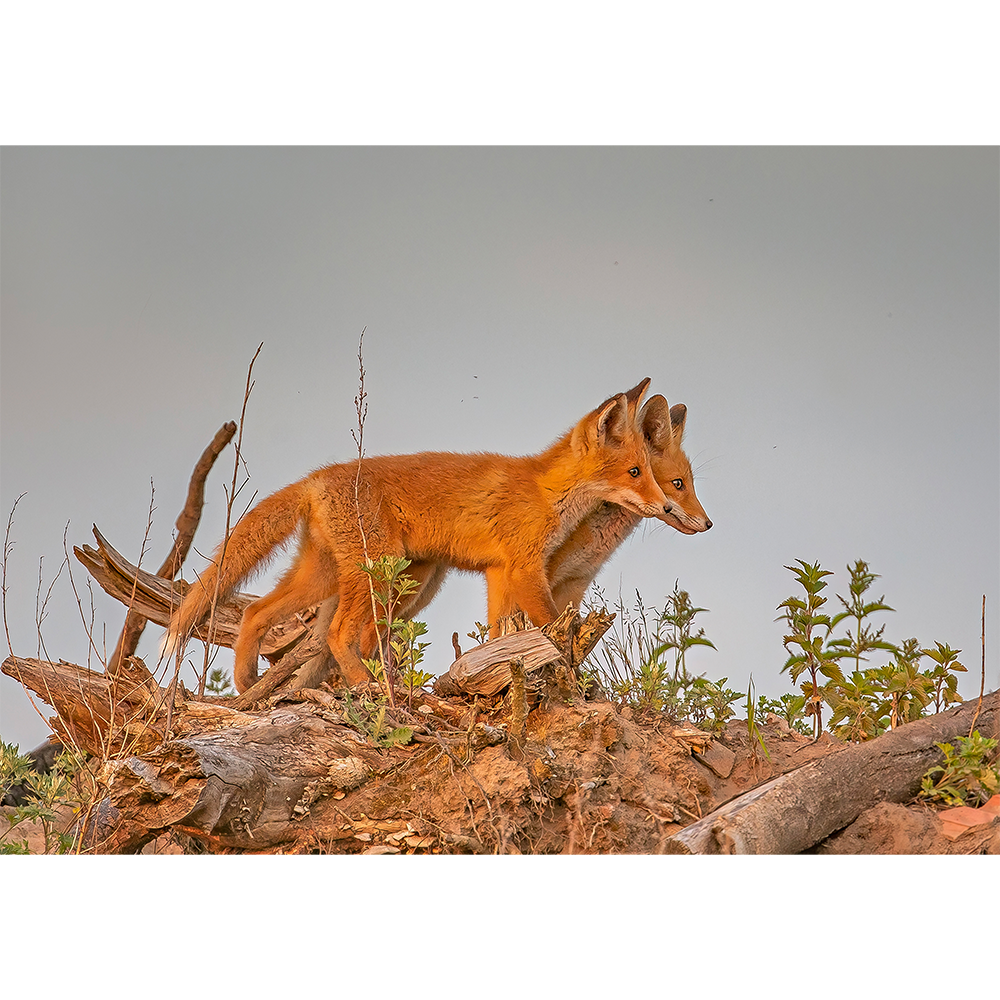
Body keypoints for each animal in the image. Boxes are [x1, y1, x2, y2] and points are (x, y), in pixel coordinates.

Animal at [167, 380, 675, 691]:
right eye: (635, 473)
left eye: (651, 473)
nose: (669, 507)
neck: (547, 492)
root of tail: (316, 477)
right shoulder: (524, 568)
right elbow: (554, 630)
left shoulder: (499, 572)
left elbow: (500, 634)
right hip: (376, 569)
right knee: (335, 632)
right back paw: (367, 686)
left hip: (338, 575)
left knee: (255, 612)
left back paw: (247, 682)